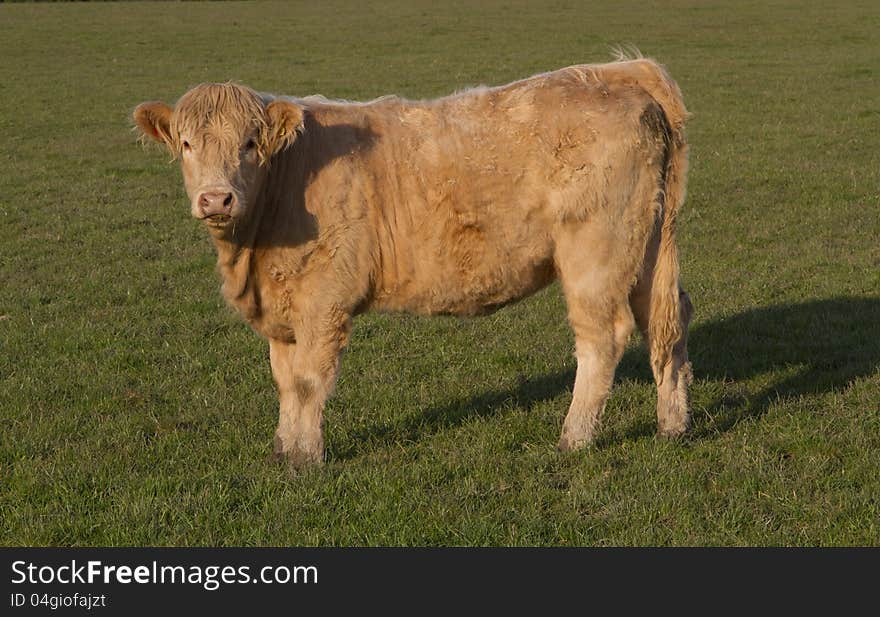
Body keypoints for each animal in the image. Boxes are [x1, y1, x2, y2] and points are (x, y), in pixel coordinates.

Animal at [132, 59, 696, 472]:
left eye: (250, 144)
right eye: (187, 144)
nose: (216, 198)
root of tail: (618, 75)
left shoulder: (323, 300)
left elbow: (309, 380)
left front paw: (306, 459)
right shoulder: (284, 307)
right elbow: (285, 381)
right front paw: (282, 449)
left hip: (596, 252)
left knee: (603, 337)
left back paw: (573, 439)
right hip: (646, 248)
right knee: (666, 320)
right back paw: (673, 426)